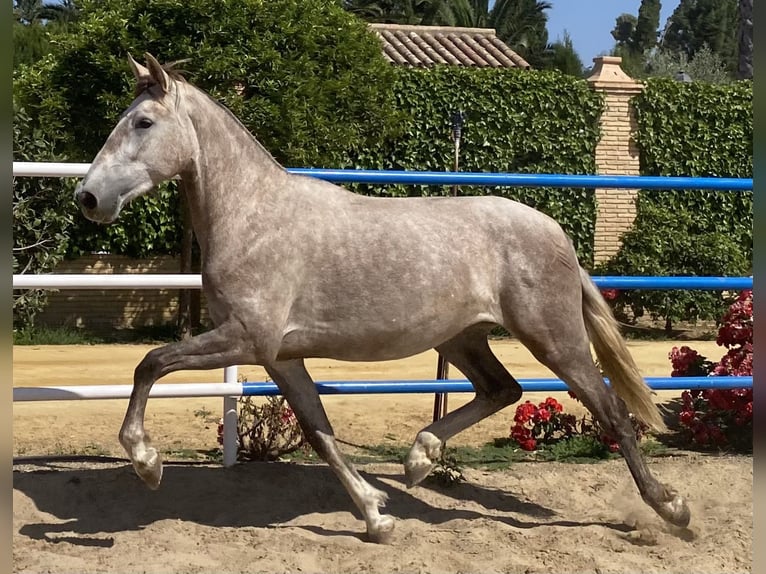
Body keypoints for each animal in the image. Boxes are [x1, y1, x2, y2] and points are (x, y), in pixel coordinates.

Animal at [75, 54, 692, 544]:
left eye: (143, 122)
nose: (88, 197)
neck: (254, 216)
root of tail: (556, 232)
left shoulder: (246, 339)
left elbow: (150, 363)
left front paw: (147, 463)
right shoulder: (280, 357)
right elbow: (319, 432)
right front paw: (376, 516)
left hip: (554, 338)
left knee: (611, 411)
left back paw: (671, 508)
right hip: (463, 338)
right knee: (503, 389)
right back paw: (419, 460)